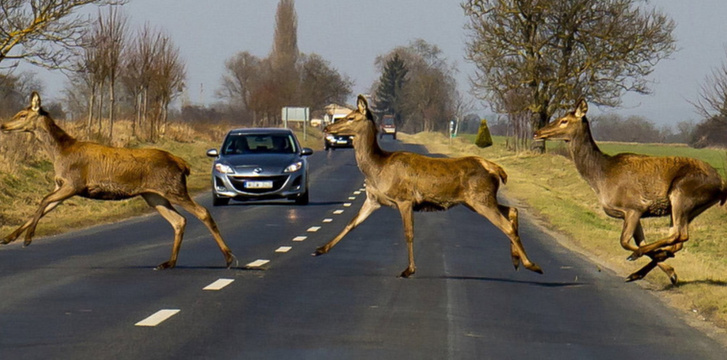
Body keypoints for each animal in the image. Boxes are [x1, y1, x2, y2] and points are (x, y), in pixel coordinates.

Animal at [0, 93, 236, 270]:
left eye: (22, 114)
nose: (3, 125)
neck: (60, 153)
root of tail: (182, 164)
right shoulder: (63, 185)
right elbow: (45, 205)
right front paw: (9, 237)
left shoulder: (74, 183)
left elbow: (43, 201)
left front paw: (27, 238)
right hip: (154, 195)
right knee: (179, 220)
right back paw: (169, 262)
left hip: (173, 188)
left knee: (202, 212)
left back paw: (229, 258)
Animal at [310, 94, 544, 278]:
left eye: (351, 117)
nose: (327, 127)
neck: (378, 168)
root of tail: (495, 169)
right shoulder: (374, 199)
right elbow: (351, 223)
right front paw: (320, 249)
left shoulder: (404, 199)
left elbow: (409, 233)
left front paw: (409, 269)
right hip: (478, 200)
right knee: (512, 211)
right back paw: (516, 260)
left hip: (481, 199)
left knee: (506, 226)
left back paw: (532, 264)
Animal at [536, 99, 727, 284]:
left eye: (564, 120)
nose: (538, 132)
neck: (601, 179)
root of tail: (722, 183)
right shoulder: (631, 213)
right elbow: (639, 241)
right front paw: (669, 270)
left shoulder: (634, 207)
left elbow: (624, 242)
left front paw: (643, 257)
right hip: (691, 209)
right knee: (678, 238)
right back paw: (647, 268)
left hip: (683, 194)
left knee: (680, 235)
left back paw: (641, 258)